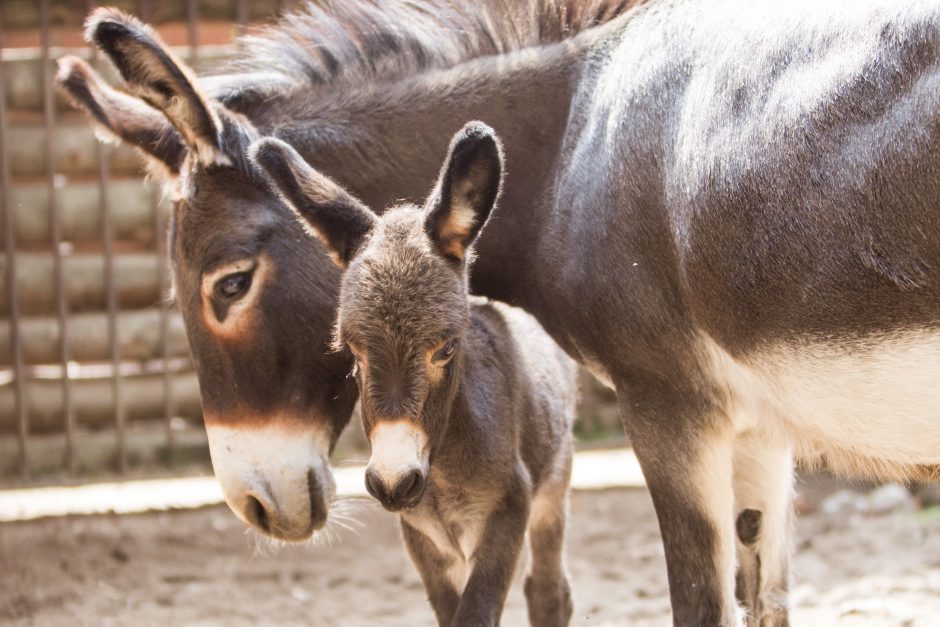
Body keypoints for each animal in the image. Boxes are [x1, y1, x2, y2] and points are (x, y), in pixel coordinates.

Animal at [253, 124, 576, 627]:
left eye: (446, 348)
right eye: (352, 352)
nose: (394, 480)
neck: (441, 470)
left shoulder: (508, 512)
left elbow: (477, 614)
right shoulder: (422, 538)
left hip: (553, 486)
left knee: (548, 591)